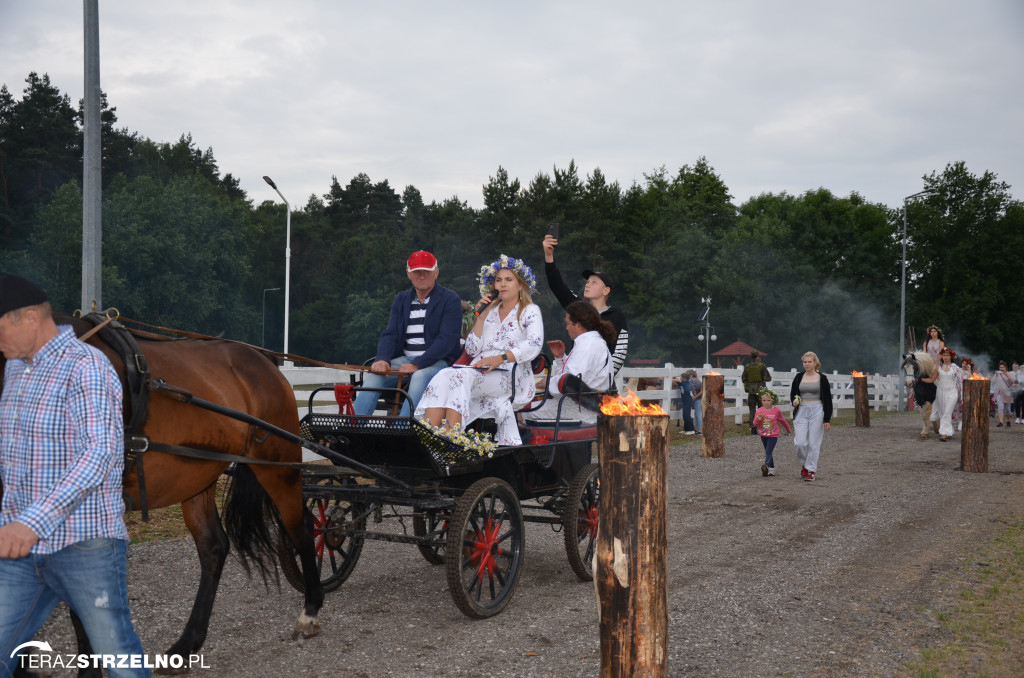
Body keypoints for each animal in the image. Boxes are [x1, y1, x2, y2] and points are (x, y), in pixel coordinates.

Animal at [2, 317, 321, 675]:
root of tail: (263, 359)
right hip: (198, 476)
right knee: (213, 546)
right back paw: (186, 645)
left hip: (278, 465)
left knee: (300, 527)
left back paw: (310, 611)